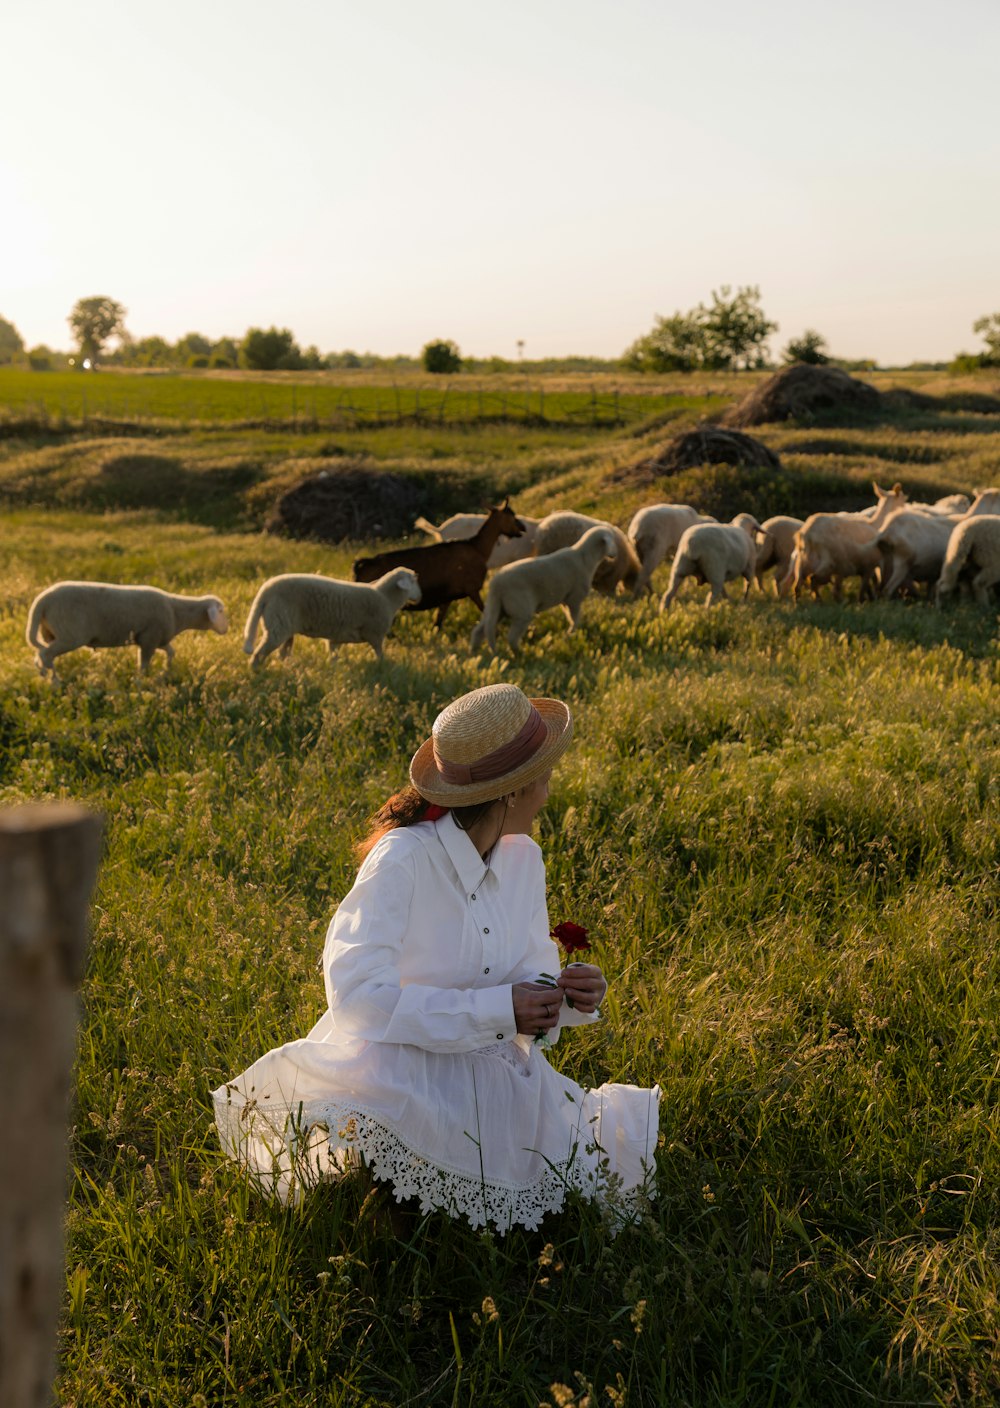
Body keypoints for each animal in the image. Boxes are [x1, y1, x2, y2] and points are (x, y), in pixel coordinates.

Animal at [25, 574, 229, 678]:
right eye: (221, 611)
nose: (226, 630)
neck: (176, 611)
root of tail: (41, 601)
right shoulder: (149, 639)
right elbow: (143, 665)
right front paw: (141, 683)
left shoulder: (158, 638)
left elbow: (171, 652)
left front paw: (166, 671)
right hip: (70, 635)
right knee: (45, 655)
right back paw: (55, 683)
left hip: (51, 633)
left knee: (41, 655)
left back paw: (44, 675)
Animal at [245, 563, 419, 667]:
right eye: (414, 581)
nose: (420, 597)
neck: (386, 598)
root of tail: (265, 591)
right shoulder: (375, 633)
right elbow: (379, 653)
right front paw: (383, 666)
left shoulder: (337, 636)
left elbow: (333, 654)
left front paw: (333, 667)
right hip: (278, 625)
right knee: (259, 654)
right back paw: (257, 671)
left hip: (285, 626)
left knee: (283, 652)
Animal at [352, 498, 523, 625]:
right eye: (512, 516)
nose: (523, 528)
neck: (478, 548)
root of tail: (363, 566)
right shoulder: (472, 589)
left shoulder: (448, 596)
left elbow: (438, 623)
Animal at [470, 526, 619, 656]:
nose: (615, 555)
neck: (585, 558)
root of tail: (496, 584)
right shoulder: (574, 598)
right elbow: (575, 618)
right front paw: (571, 633)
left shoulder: (565, 599)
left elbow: (570, 617)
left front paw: (570, 633)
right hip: (521, 610)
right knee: (511, 637)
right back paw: (520, 654)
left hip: (495, 607)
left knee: (479, 630)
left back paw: (475, 653)